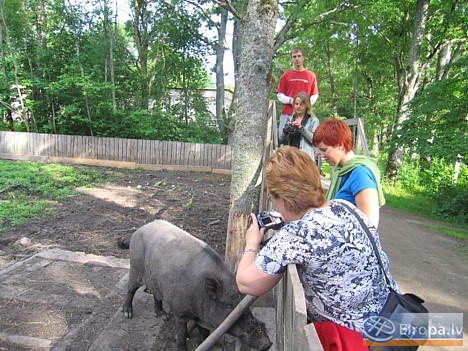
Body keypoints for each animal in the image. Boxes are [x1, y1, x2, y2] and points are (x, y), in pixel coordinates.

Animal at [120, 221, 272, 350]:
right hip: (135, 267)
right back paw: (127, 314)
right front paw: (181, 348)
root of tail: (139, 230)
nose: (267, 343)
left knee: (156, 294)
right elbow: (181, 333)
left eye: (242, 301)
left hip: (154, 279)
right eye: (228, 305)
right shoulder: (179, 311)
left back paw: (163, 316)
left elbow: (204, 332)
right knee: (131, 288)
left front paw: (200, 342)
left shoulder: (203, 316)